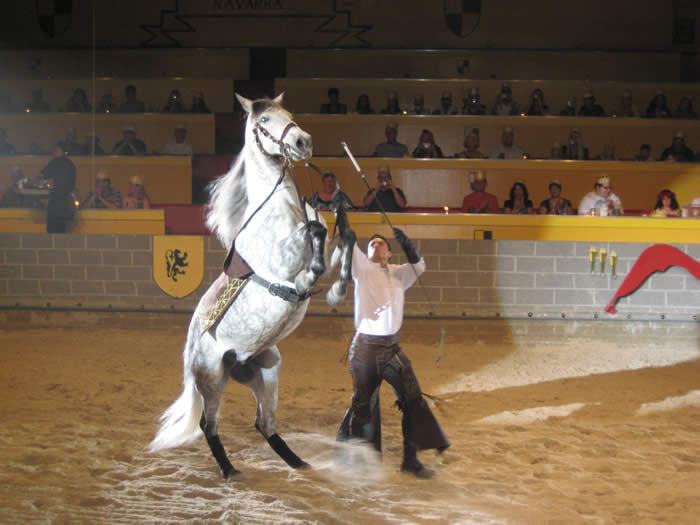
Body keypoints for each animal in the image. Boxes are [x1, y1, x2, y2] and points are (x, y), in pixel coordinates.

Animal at [148, 94, 356, 478]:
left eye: (288, 114)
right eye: (264, 122)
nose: (302, 142)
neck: (279, 211)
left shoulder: (326, 243)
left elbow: (342, 236)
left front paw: (338, 289)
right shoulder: (283, 259)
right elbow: (315, 236)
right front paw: (308, 279)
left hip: (267, 369)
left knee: (264, 423)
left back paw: (298, 462)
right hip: (212, 378)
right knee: (208, 424)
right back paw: (230, 470)